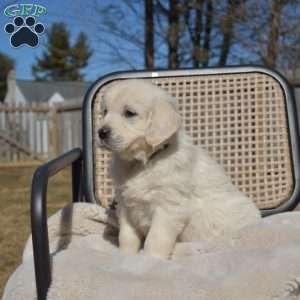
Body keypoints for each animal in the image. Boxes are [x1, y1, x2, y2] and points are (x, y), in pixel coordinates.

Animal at [98, 79, 260, 258]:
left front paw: (150, 259)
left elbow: (156, 238)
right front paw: (125, 255)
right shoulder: (125, 205)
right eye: (105, 111)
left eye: (129, 113)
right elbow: (126, 236)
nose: (101, 132)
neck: (142, 163)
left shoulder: (168, 207)